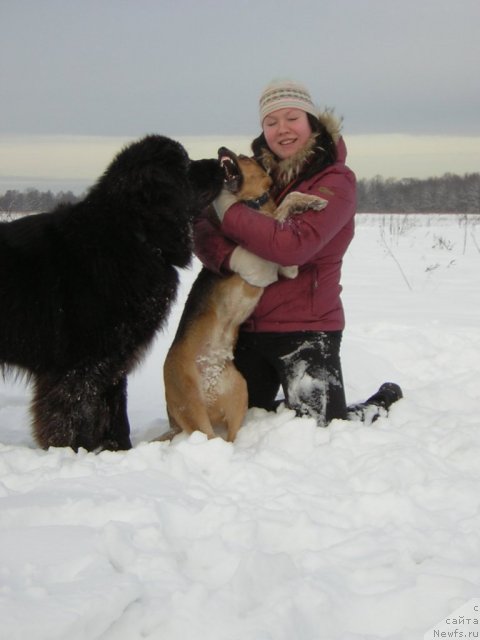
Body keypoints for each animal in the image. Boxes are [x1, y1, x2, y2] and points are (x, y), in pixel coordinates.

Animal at [0, 136, 225, 450]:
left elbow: (116, 413)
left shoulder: (115, 359)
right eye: (184, 165)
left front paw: (119, 450)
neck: (134, 236)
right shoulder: (79, 367)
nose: (220, 161)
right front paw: (76, 452)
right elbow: (76, 415)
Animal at [163, 148, 328, 442]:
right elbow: (282, 210)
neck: (252, 205)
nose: (221, 150)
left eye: (244, 156)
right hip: (191, 405)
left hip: (239, 392)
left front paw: (312, 201)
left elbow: (288, 202)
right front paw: (309, 202)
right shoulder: (260, 259)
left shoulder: (287, 268)